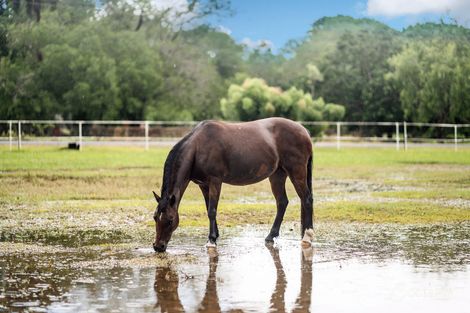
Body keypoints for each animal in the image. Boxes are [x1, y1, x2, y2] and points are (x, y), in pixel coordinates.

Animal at [152, 117, 314, 251]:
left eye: (170, 220)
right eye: (155, 217)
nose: (158, 247)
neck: (198, 147)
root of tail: (304, 131)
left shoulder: (215, 181)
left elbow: (212, 210)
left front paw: (211, 241)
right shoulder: (203, 185)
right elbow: (209, 208)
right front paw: (215, 236)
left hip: (296, 172)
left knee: (306, 199)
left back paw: (307, 236)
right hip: (277, 175)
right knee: (282, 202)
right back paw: (270, 236)